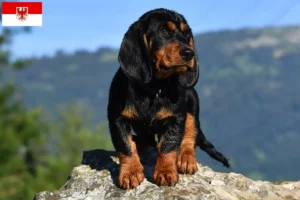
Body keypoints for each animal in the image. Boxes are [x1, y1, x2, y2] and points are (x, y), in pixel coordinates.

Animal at [107, 7, 230, 189]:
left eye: (186, 34)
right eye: (164, 31)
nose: (189, 53)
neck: (153, 89)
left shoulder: (176, 119)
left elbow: (168, 146)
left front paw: (165, 171)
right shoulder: (117, 119)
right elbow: (125, 145)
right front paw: (130, 172)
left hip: (192, 106)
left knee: (189, 136)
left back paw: (186, 159)